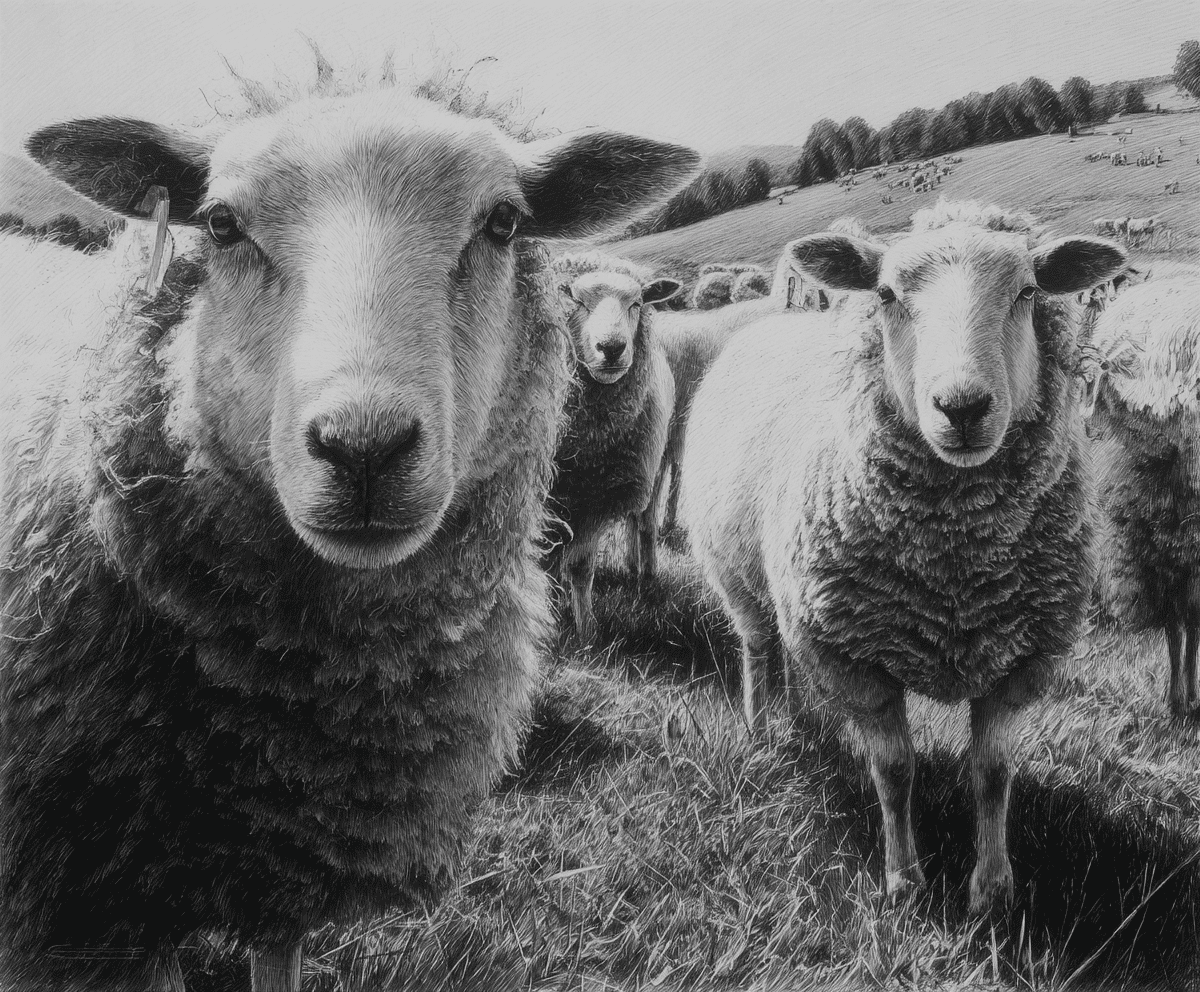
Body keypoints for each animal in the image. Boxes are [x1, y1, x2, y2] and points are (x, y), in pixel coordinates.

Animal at [545, 253, 680, 639]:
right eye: (576, 301)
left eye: (637, 303)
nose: (612, 348)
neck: (587, 442)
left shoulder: (598, 499)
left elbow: (581, 567)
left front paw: (586, 632)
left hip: (654, 467)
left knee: (645, 524)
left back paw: (646, 577)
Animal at [681, 203, 1125, 912]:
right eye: (886, 294)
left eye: (1028, 292)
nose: (962, 407)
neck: (954, 571)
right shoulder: (856, 660)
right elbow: (893, 770)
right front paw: (903, 884)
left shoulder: (1019, 660)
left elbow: (993, 773)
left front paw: (992, 891)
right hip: (739, 577)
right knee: (758, 648)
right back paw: (762, 732)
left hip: (793, 599)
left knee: (784, 652)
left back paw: (798, 721)